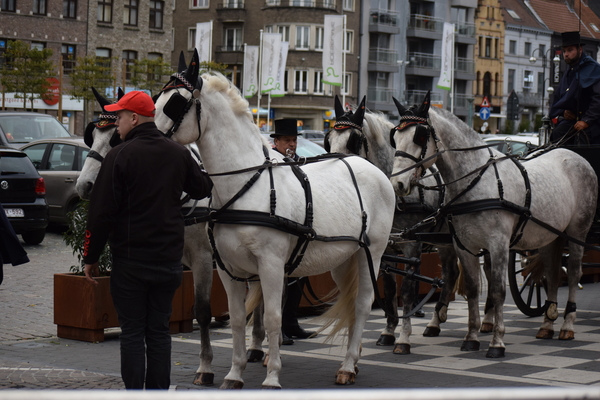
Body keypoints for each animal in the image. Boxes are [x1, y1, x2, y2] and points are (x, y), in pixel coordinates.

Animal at [152, 51, 396, 390]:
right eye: (156, 98)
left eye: (174, 102)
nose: (144, 137)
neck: (245, 186)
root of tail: (370, 168)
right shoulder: (228, 269)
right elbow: (237, 319)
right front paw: (234, 374)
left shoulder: (270, 264)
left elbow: (272, 317)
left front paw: (271, 377)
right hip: (341, 259)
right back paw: (354, 358)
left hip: (370, 253)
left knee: (362, 303)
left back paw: (348, 365)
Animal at [326, 95, 458, 354]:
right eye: (329, 140)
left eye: (354, 141)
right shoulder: (386, 248)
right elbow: (388, 290)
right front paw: (388, 332)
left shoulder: (411, 246)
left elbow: (407, 291)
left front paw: (404, 338)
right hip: (443, 240)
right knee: (451, 273)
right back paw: (436, 321)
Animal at [390, 92, 596, 358]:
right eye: (395, 137)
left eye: (420, 136)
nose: (397, 184)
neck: (477, 180)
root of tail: (577, 157)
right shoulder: (464, 246)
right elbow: (473, 289)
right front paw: (472, 337)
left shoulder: (498, 246)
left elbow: (498, 290)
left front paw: (497, 341)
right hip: (550, 233)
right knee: (551, 271)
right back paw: (547, 324)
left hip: (577, 232)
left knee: (572, 273)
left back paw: (567, 325)